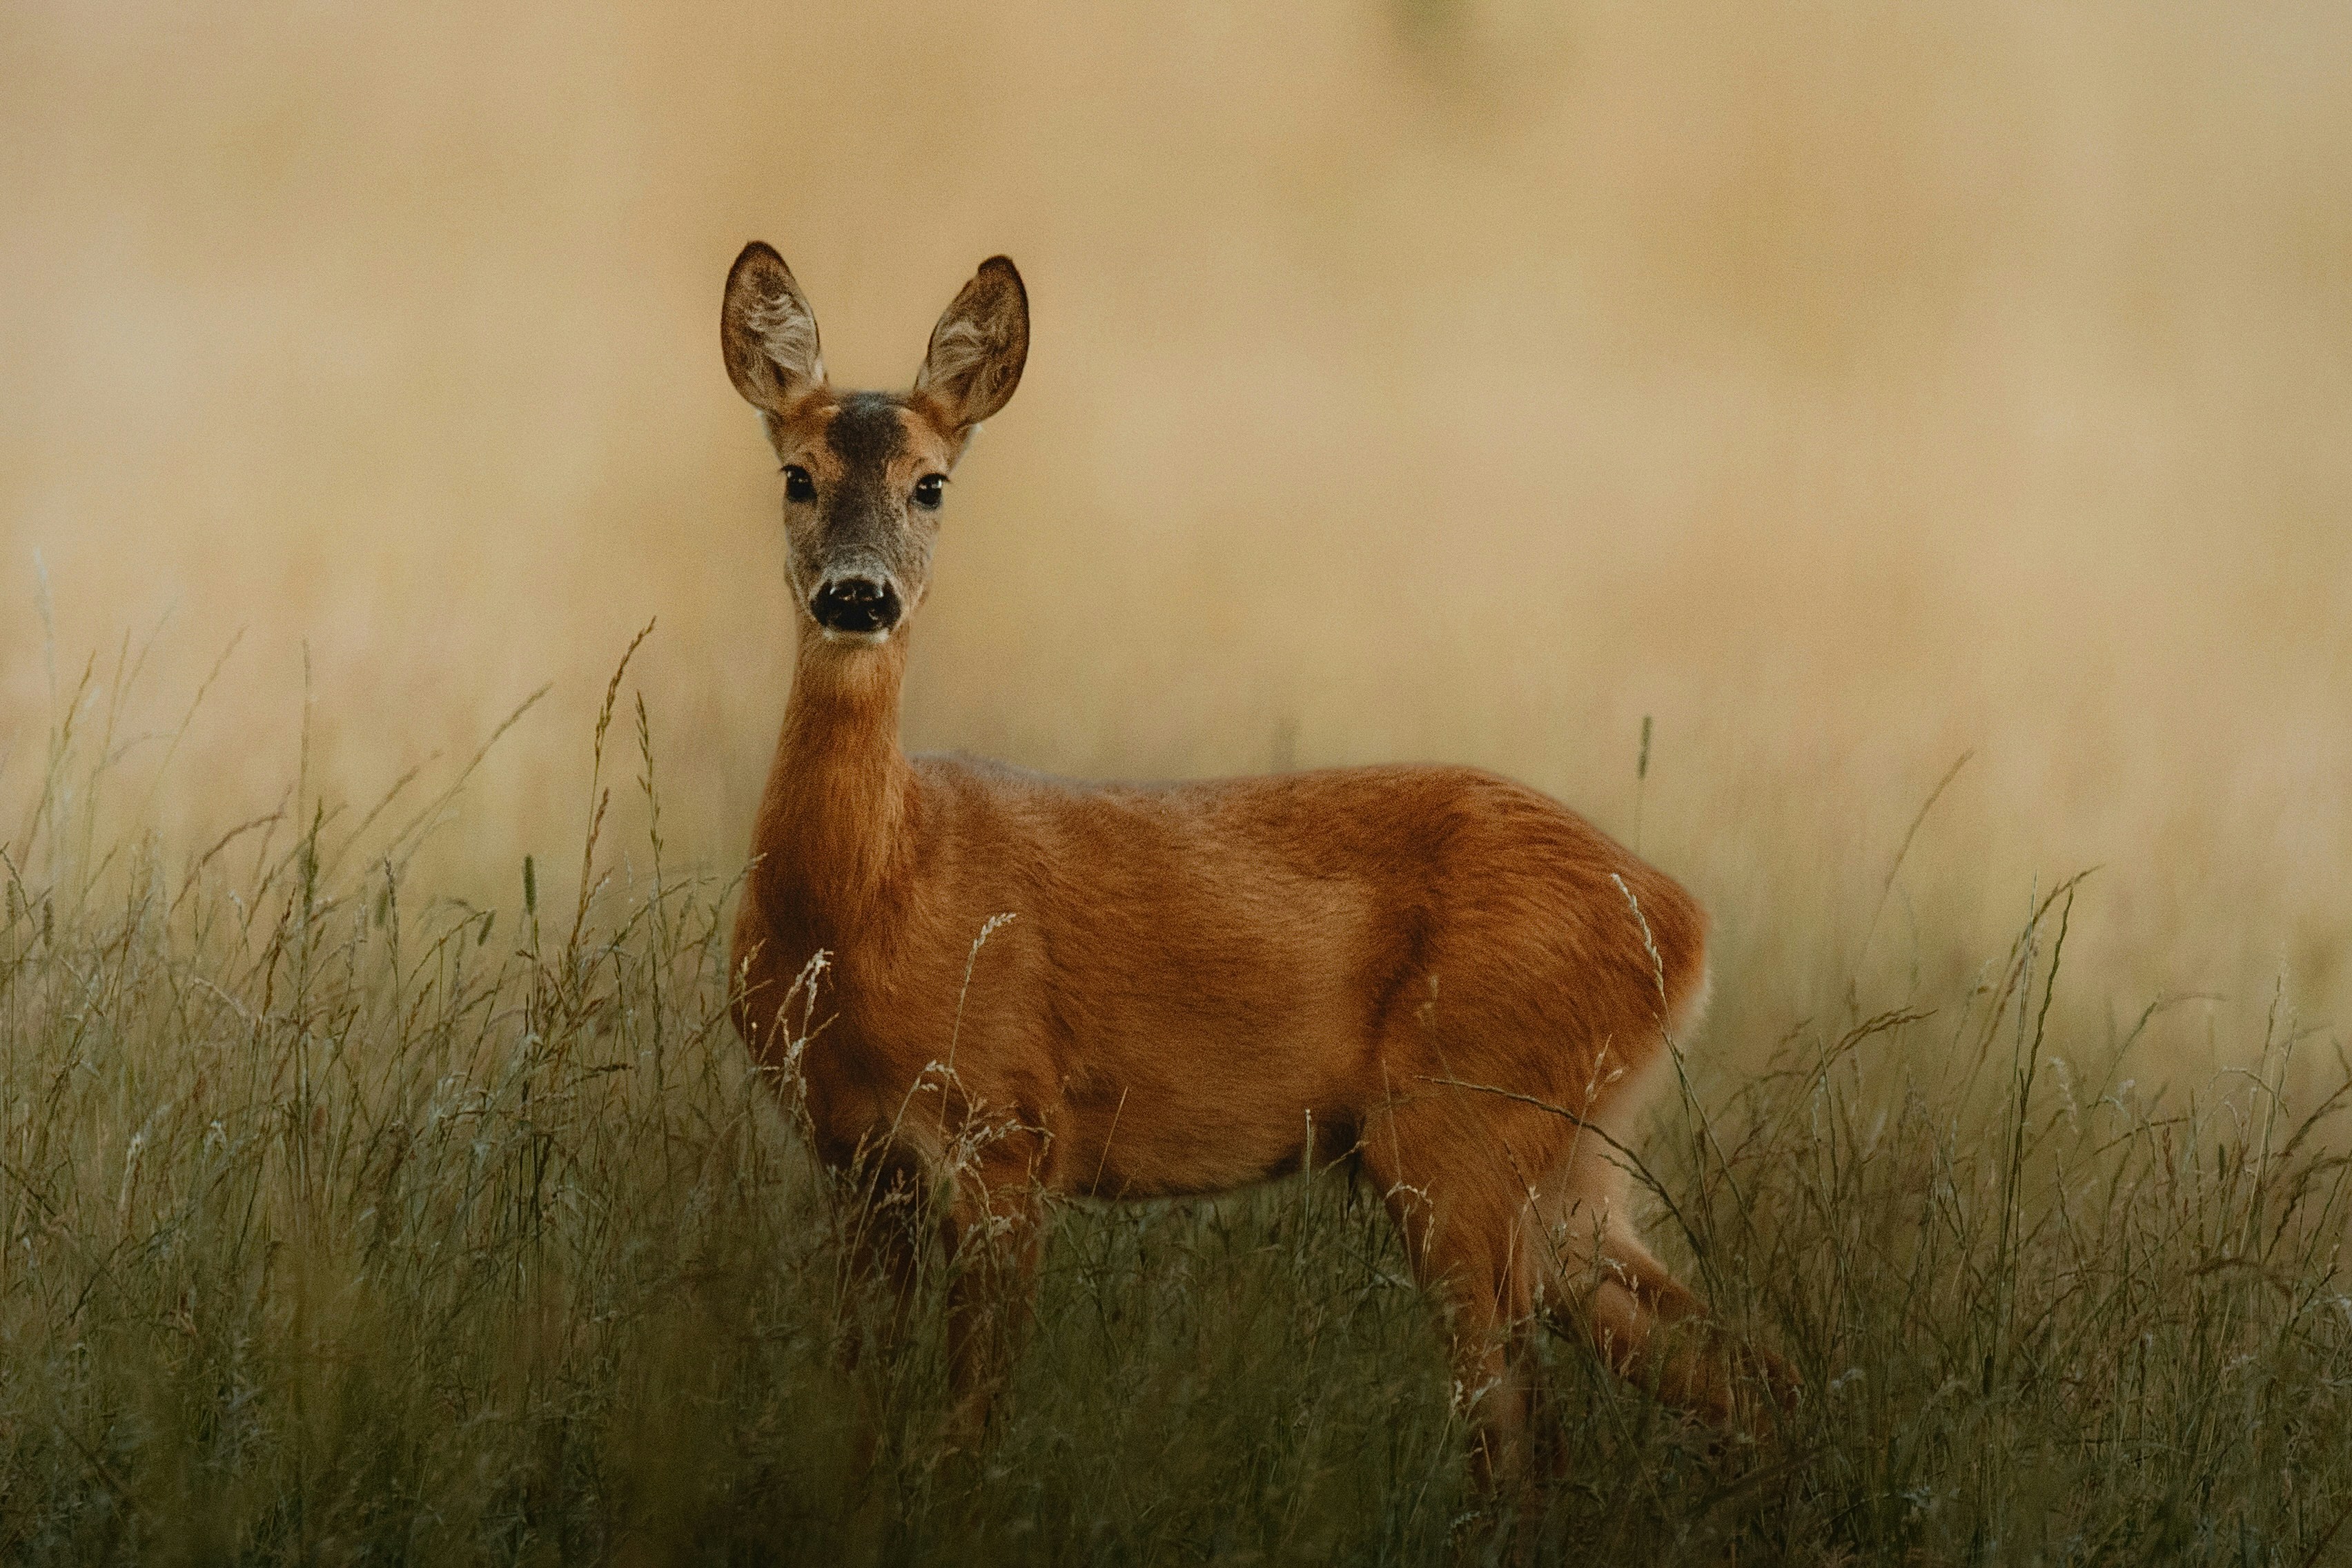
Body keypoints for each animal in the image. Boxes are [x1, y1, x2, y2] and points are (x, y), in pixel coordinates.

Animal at [720, 240, 1782, 1483]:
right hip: (1567, 1157)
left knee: (1523, 1430)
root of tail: (1685, 923)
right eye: (796, 475)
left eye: (930, 484)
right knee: (1740, 1366)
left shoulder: (1009, 1127)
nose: (856, 592)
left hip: (1462, 1121)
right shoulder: (850, 1153)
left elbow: (970, 1423)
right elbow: (859, 1408)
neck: (867, 905)